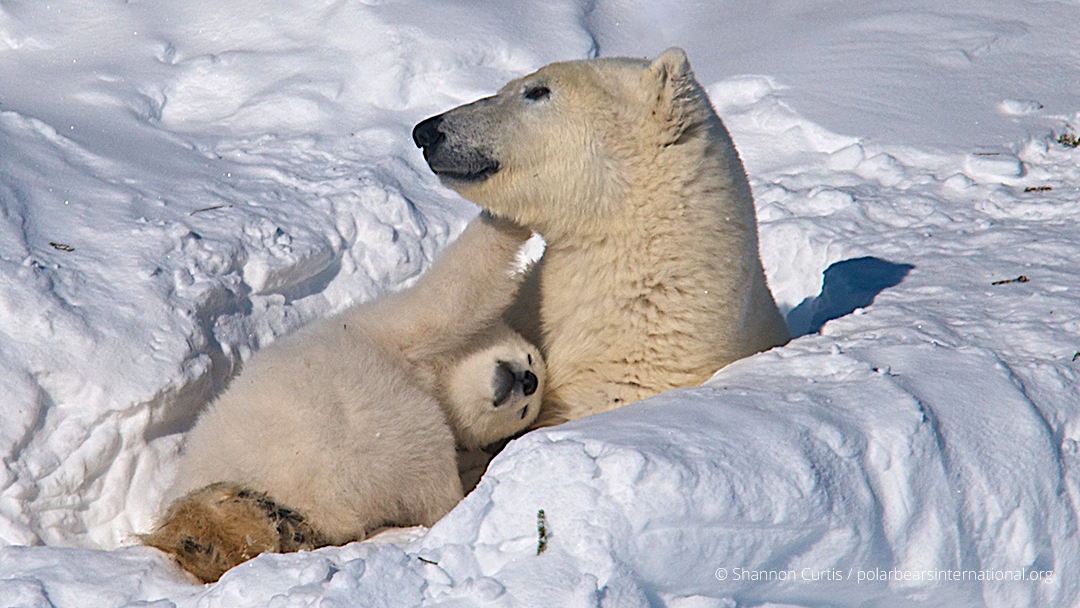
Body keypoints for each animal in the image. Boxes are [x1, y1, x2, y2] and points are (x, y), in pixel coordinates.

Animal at [142, 212, 545, 583]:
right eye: (529, 358)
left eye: (525, 411)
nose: (529, 380)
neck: (432, 377)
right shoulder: (391, 331)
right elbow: (452, 293)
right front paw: (509, 220)